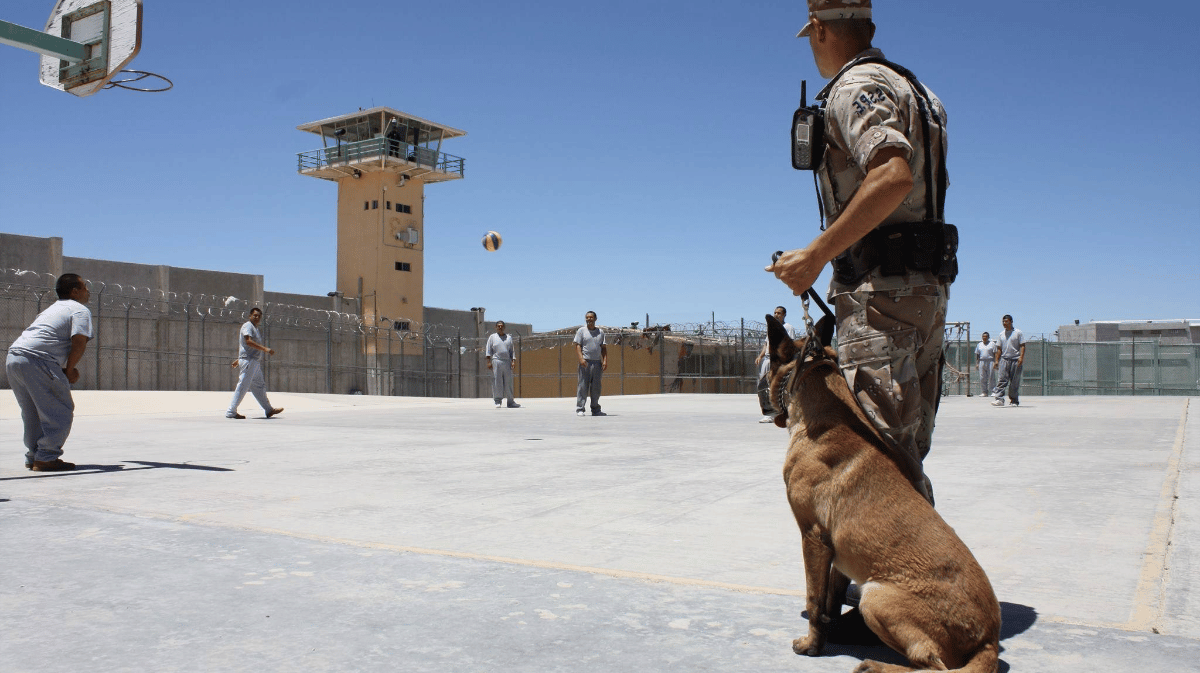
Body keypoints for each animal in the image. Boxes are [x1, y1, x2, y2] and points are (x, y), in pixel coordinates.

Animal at [768, 316, 1003, 671]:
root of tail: (989, 639)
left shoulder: (812, 537)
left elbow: (814, 598)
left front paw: (812, 644)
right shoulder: (834, 550)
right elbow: (830, 595)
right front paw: (828, 628)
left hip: (875, 597)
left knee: (933, 664)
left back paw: (877, 666)